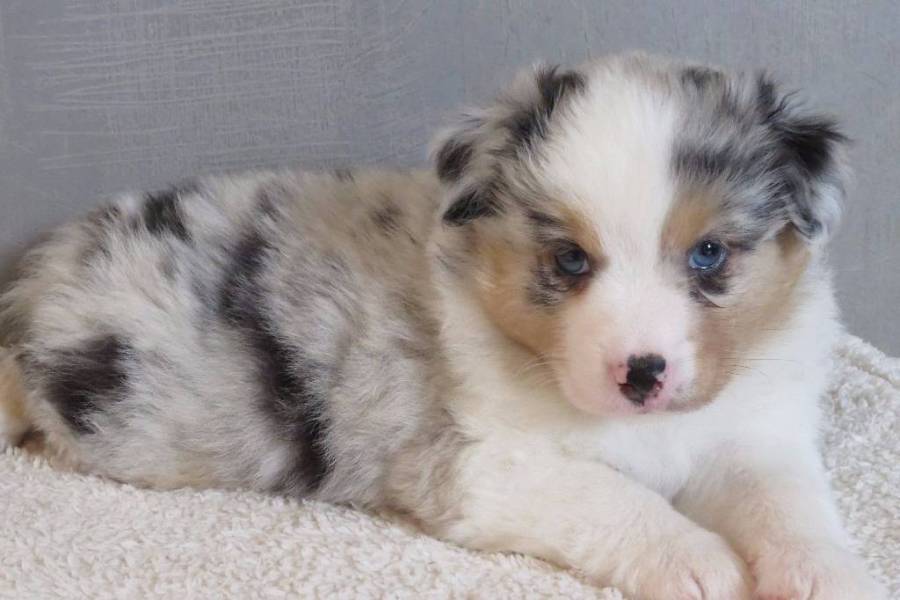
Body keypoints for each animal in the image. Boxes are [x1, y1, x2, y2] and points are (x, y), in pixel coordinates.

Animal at [0, 53, 884, 599]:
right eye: (569, 260)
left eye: (708, 254)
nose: (642, 374)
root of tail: (31, 281)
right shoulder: (486, 467)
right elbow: (614, 497)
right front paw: (702, 563)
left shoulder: (753, 432)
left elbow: (788, 503)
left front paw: (826, 575)